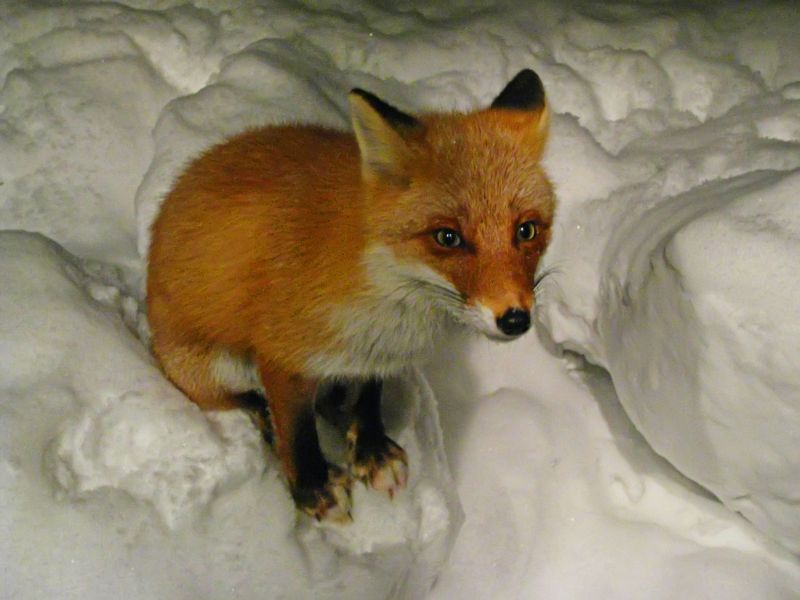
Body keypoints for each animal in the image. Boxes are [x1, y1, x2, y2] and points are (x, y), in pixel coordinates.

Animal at [146, 69, 555, 522]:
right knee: (244, 402)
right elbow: (298, 432)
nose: (515, 319)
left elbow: (368, 397)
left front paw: (371, 449)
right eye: (447, 237)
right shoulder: (282, 356)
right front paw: (313, 489)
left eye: (527, 230)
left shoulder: (379, 354)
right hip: (210, 366)